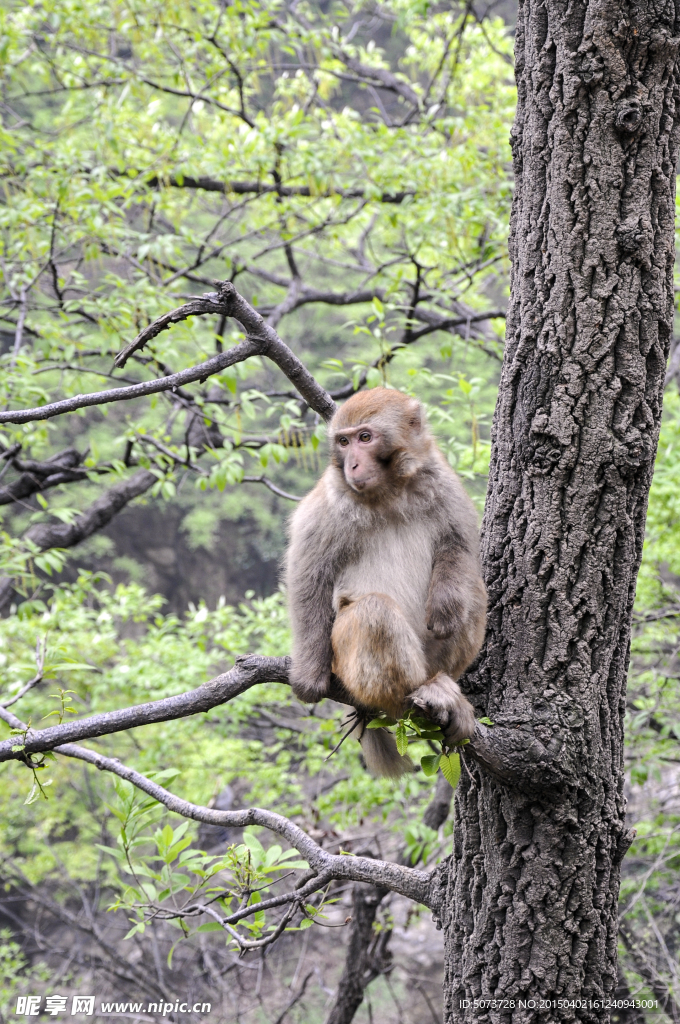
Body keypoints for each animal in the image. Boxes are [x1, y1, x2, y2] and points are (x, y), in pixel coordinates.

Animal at [284, 387, 485, 770]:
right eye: (343, 442)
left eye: (365, 438)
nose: (352, 464)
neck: (389, 491)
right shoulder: (326, 506)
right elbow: (310, 578)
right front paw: (308, 676)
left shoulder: (444, 481)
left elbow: (459, 545)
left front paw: (446, 605)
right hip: (346, 661)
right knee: (372, 612)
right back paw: (408, 696)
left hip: (431, 656)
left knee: (474, 594)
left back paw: (441, 686)